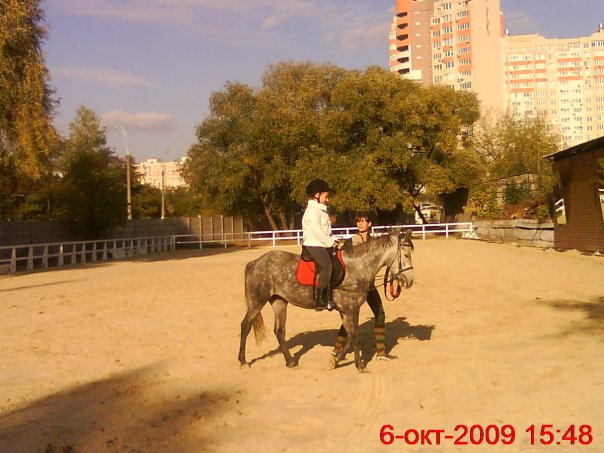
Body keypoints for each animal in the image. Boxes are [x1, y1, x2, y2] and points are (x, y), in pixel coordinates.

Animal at [238, 230, 415, 372]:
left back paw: (291, 362)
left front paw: (336, 360)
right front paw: (360, 366)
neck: (357, 268)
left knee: (279, 331)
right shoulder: (351, 309)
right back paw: (243, 361)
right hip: (257, 301)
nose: (410, 281)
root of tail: (255, 262)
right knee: (245, 325)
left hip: (279, 301)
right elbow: (354, 336)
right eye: (406, 255)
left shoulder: (346, 311)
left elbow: (349, 337)